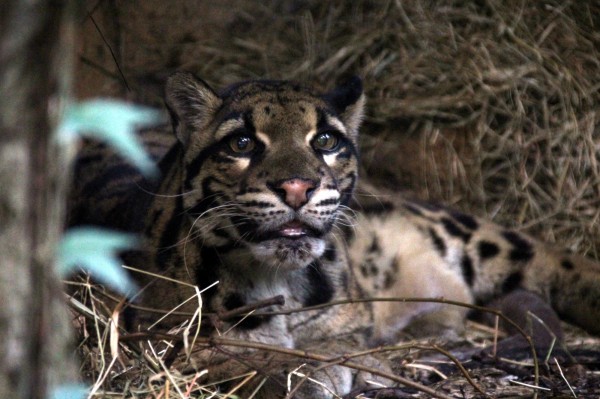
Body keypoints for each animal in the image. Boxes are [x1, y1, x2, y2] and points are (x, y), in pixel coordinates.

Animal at [68, 73, 600, 398]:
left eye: (325, 140)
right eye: (241, 143)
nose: (297, 186)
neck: (276, 280)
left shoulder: (352, 318)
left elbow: (335, 343)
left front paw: (326, 365)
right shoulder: (156, 341)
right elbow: (239, 358)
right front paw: (300, 370)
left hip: (471, 234)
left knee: (559, 261)